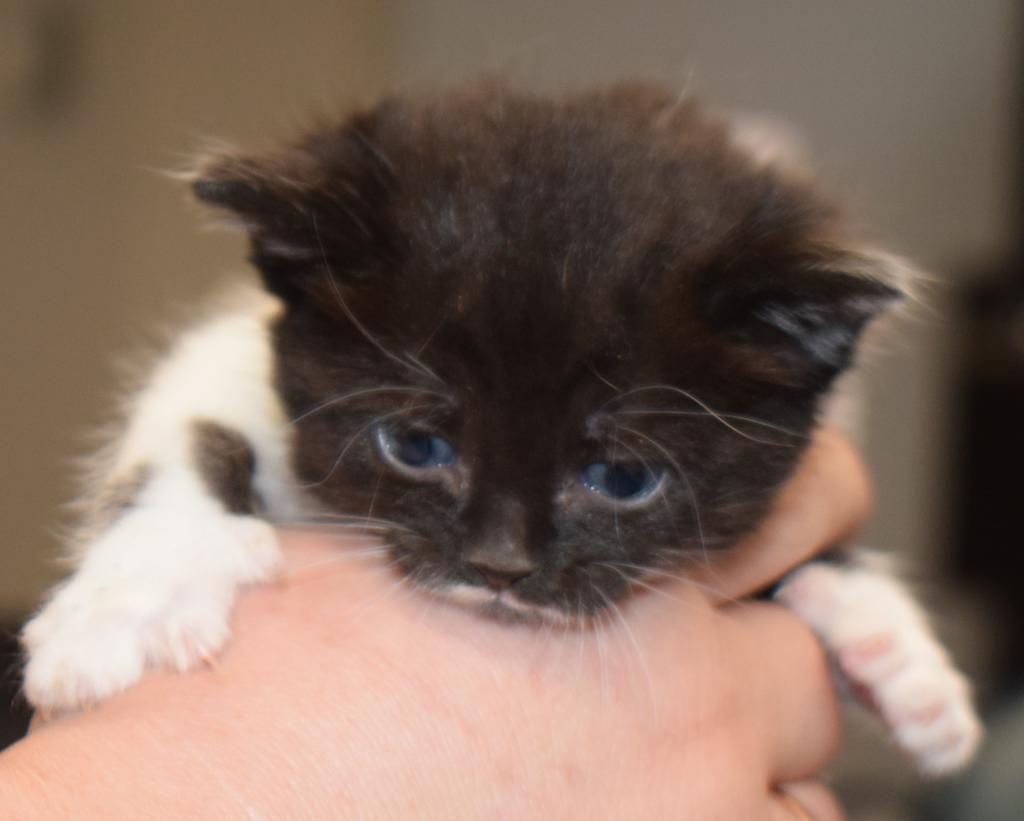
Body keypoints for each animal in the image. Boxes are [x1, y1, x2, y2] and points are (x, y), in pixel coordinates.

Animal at [24, 81, 978, 773]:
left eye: (623, 477)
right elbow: (191, 420)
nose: (500, 564)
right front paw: (130, 598)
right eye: (416, 446)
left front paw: (894, 646)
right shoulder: (234, 341)